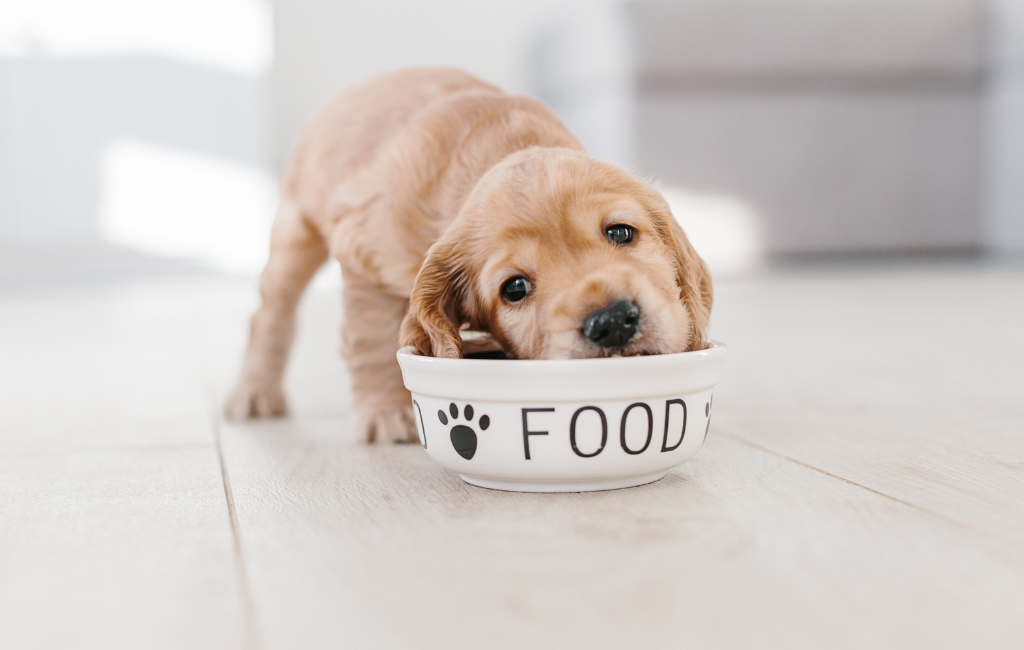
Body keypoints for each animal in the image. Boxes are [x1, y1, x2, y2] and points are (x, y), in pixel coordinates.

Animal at [224, 67, 712, 442]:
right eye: (514, 288)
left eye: (621, 231)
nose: (611, 322)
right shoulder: (365, 254)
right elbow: (373, 339)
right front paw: (385, 413)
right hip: (295, 232)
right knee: (270, 313)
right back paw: (254, 392)